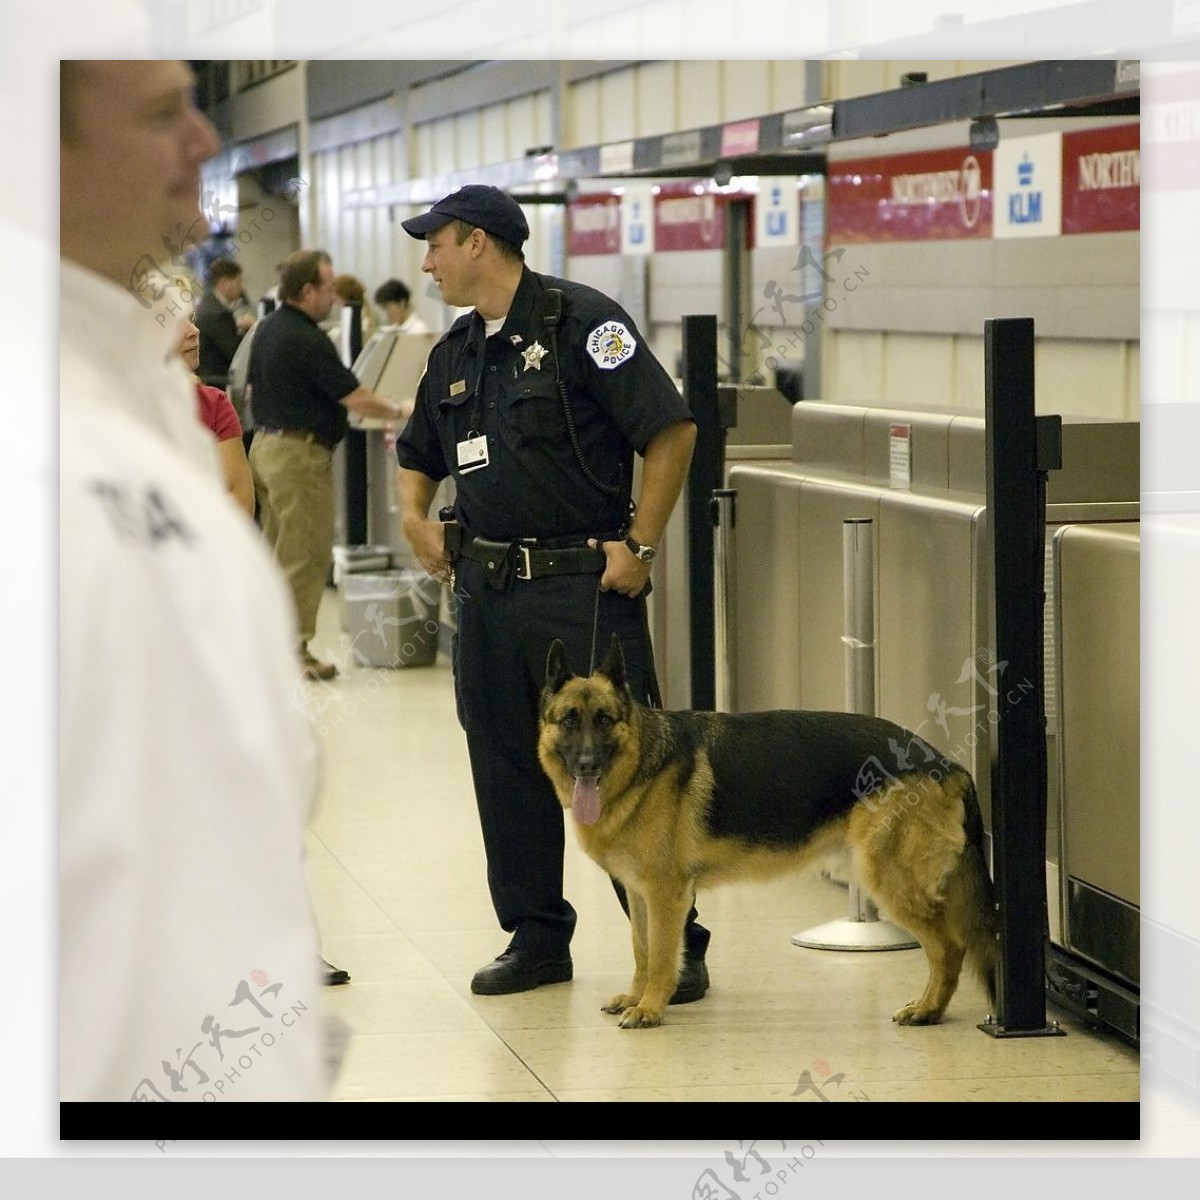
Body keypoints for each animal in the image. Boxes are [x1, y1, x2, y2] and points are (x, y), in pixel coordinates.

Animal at [540, 638, 998, 1032]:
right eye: (569, 720)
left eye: (604, 720)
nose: (586, 765)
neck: (641, 764)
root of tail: (948, 764)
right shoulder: (638, 893)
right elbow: (641, 950)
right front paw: (636, 998)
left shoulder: (665, 895)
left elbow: (662, 956)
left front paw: (650, 1008)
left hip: (889, 880)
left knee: (949, 947)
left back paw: (928, 1009)